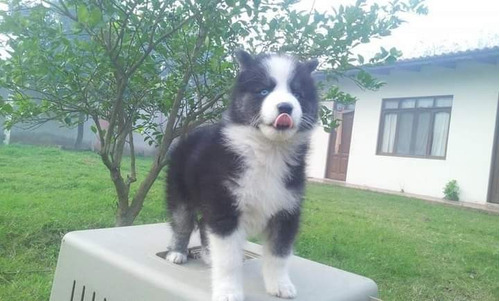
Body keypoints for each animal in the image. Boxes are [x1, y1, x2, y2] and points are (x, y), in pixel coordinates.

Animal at [166, 50, 318, 298]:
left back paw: (208, 256)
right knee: (182, 222)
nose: (286, 107)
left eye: (297, 93)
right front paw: (228, 292)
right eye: (264, 91)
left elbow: (280, 253)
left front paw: (281, 286)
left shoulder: (287, 209)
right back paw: (177, 253)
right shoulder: (224, 206)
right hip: (180, 190)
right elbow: (229, 259)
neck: (268, 150)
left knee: (204, 227)